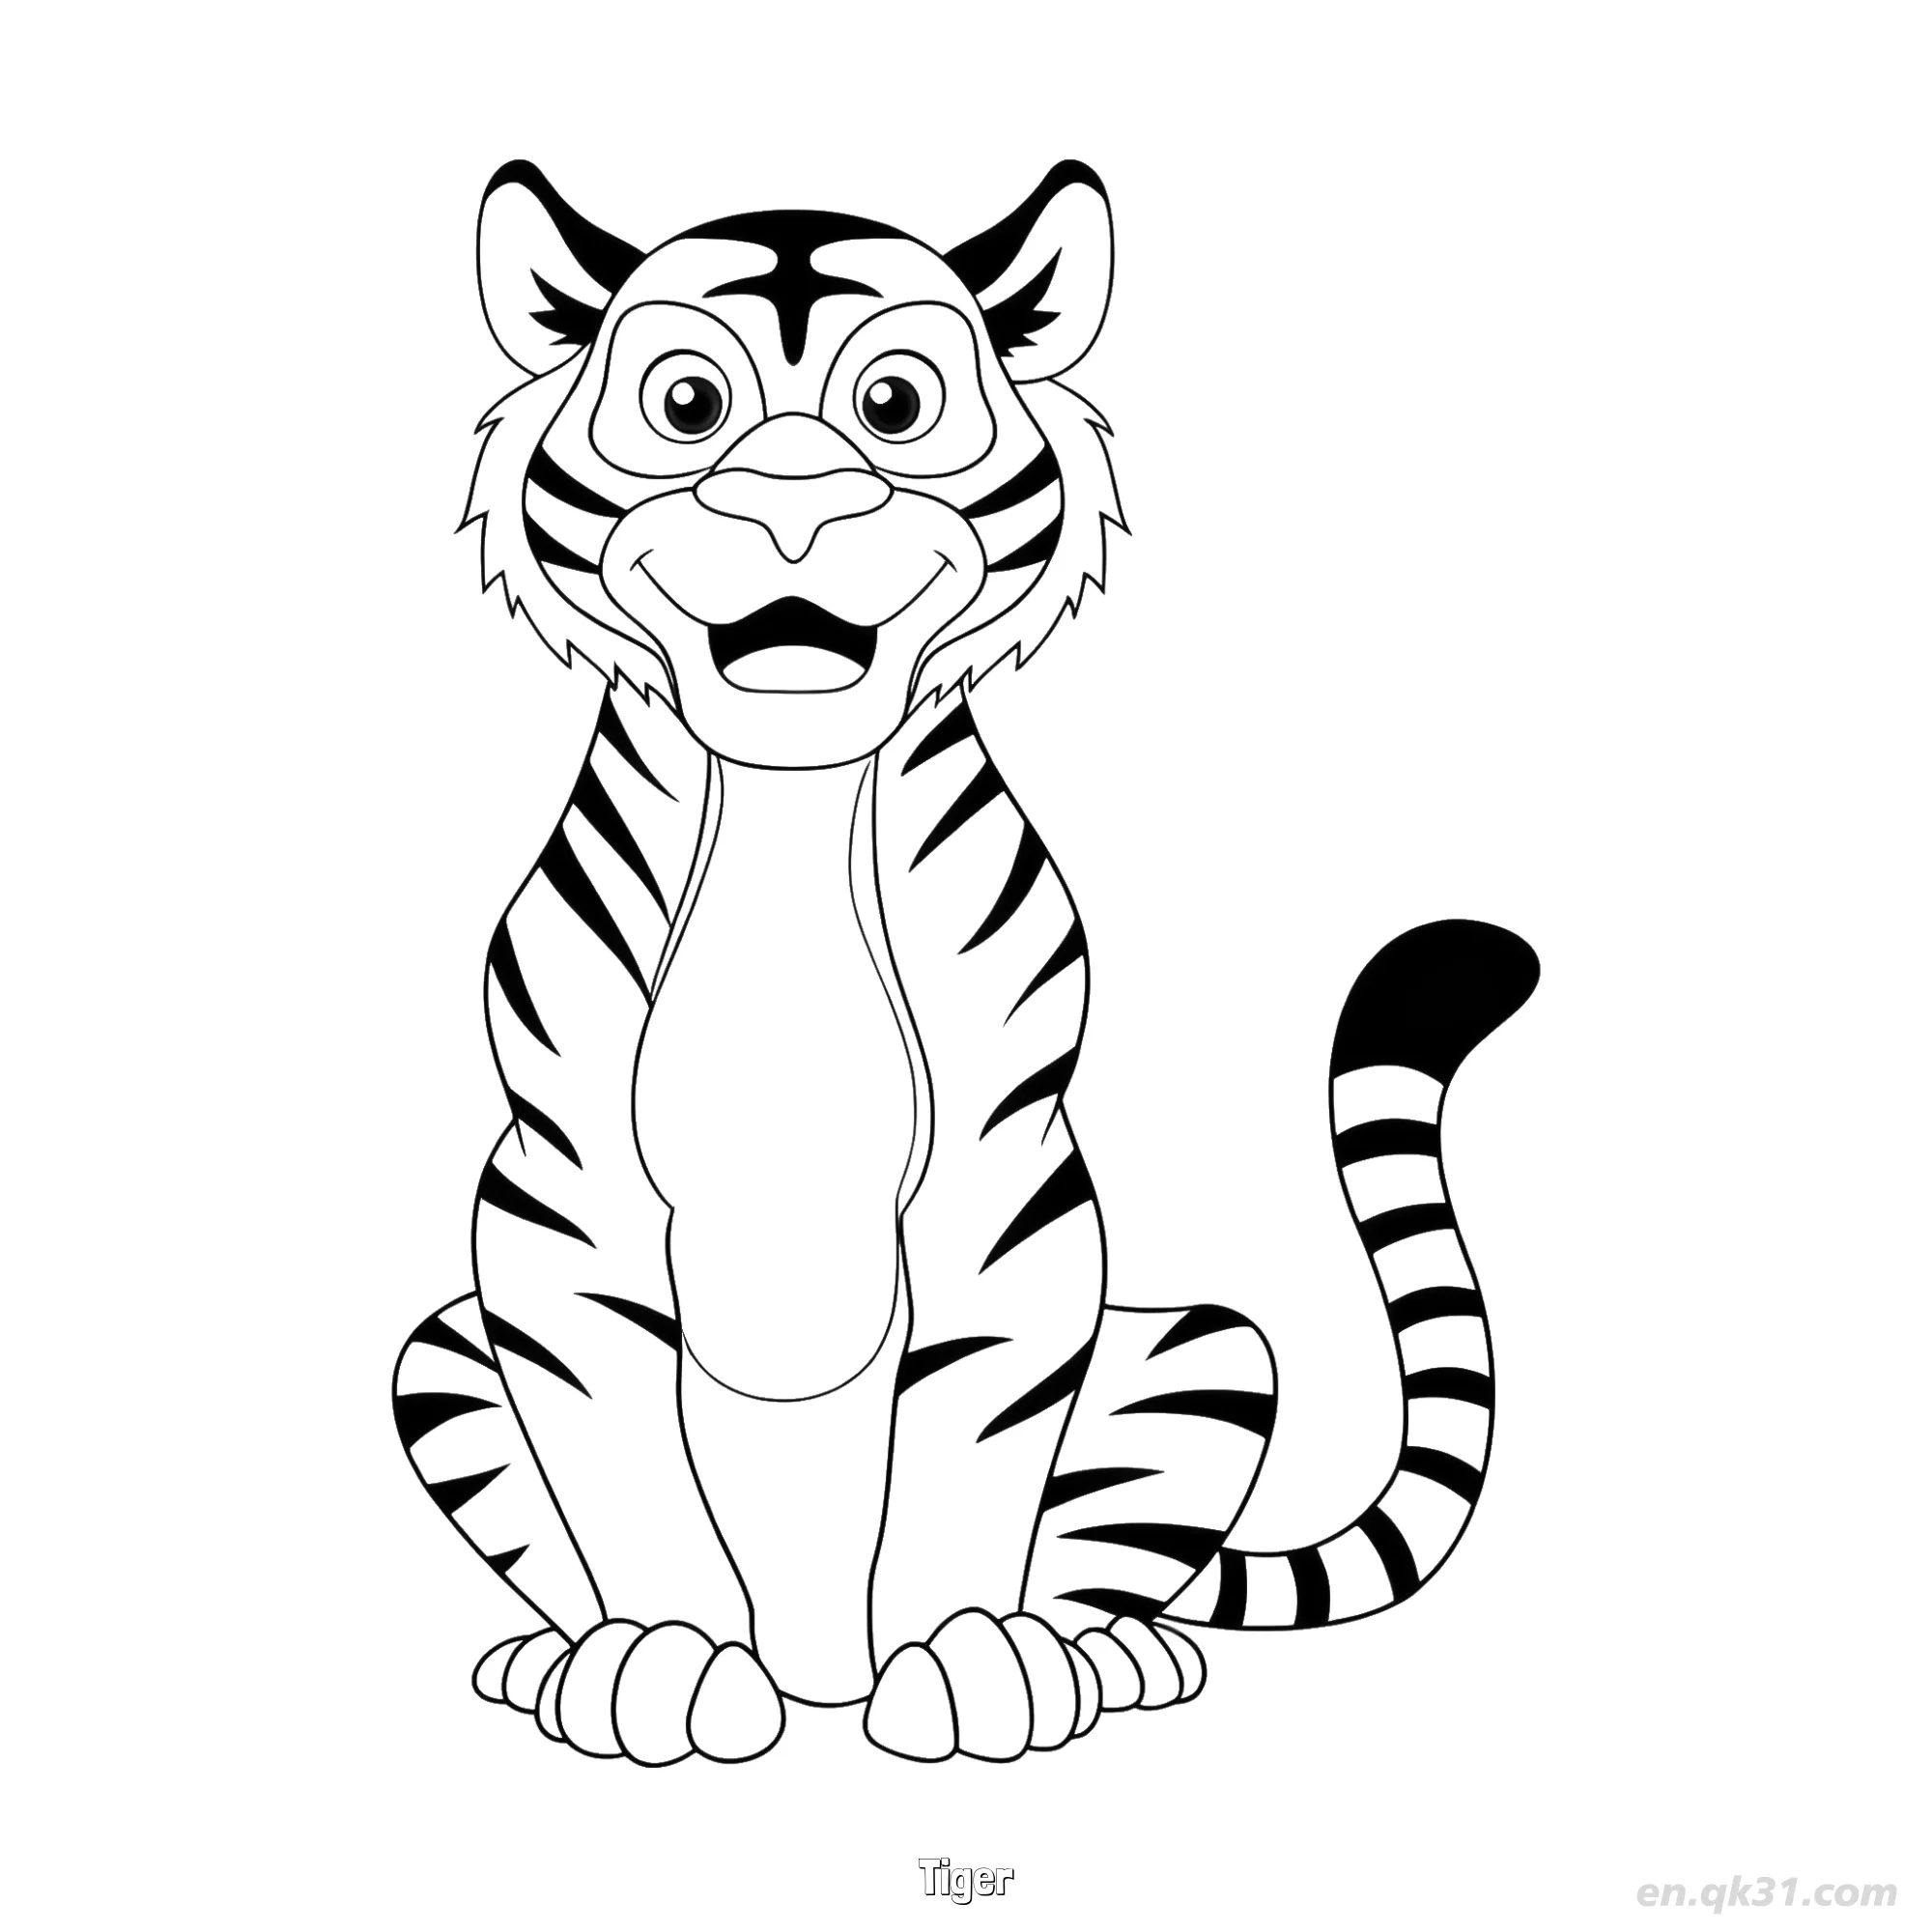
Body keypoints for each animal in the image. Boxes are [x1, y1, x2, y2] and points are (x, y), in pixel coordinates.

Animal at [391, 158, 1540, 1765]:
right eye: (690, 402)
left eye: (895, 402)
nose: (795, 506)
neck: (794, 799)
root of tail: (819, 1676)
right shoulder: (564, 1199)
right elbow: (622, 1460)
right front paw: (666, 1661)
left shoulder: (1003, 1196)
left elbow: (975, 1441)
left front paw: (969, 1660)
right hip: (440, 1355)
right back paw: (553, 1659)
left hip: (1199, 1358)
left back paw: (1100, 1656)